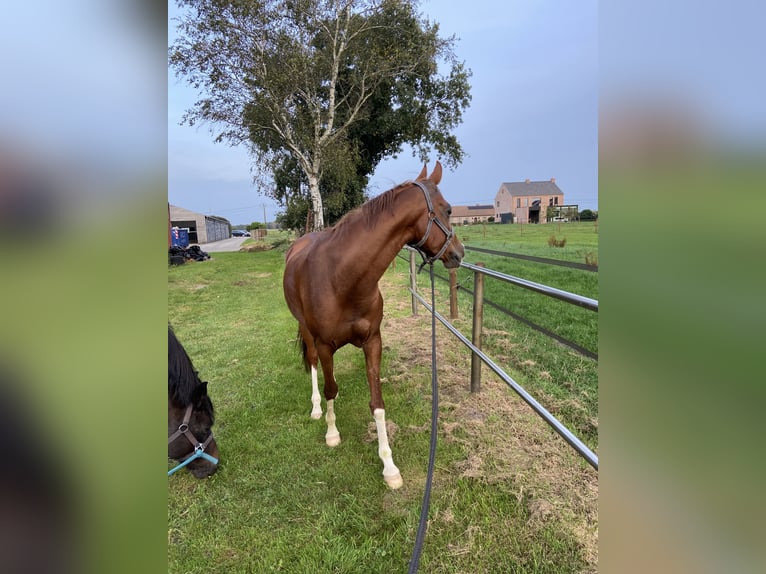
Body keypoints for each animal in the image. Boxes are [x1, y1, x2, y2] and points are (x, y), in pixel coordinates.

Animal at [284, 162, 464, 490]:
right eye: (447, 209)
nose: (458, 253)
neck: (343, 278)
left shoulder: (372, 342)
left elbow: (377, 403)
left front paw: (389, 466)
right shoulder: (325, 344)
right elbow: (329, 388)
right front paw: (332, 432)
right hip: (307, 331)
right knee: (314, 366)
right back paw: (316, 408)